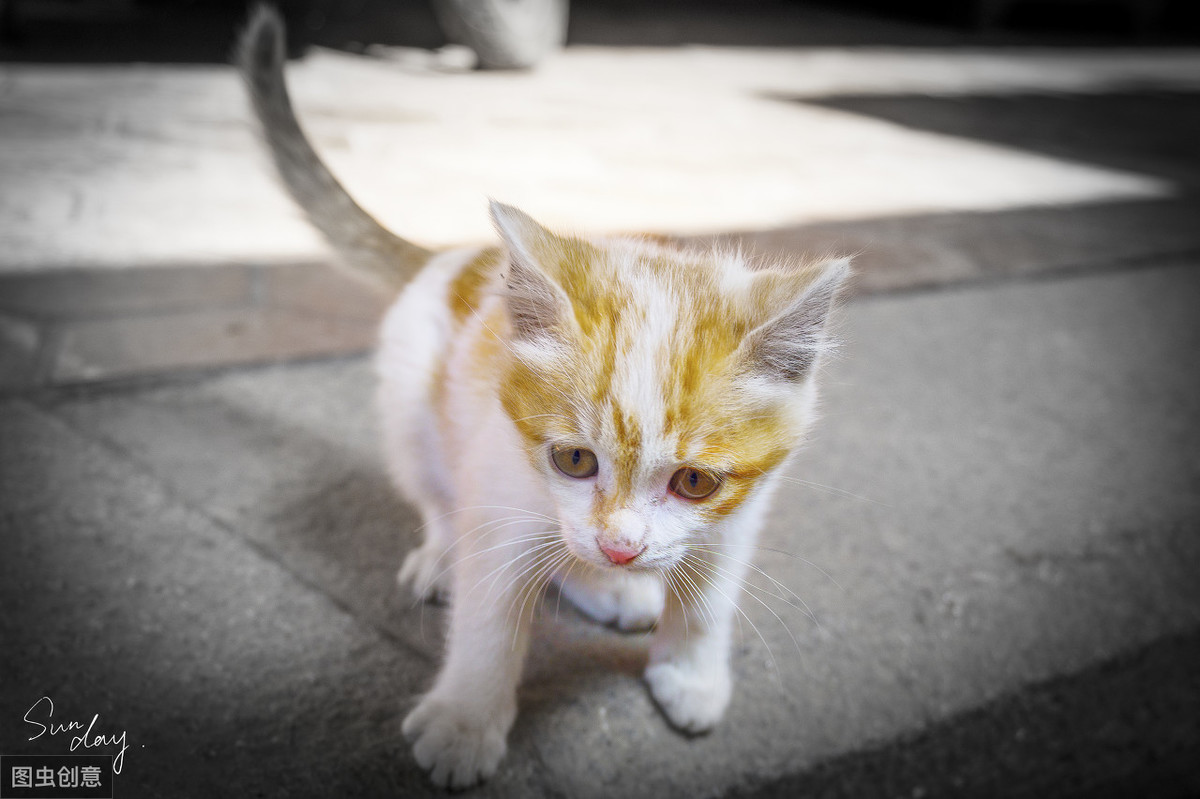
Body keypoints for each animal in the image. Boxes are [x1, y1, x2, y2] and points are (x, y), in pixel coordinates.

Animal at [238, 6, 849, 787]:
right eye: (574, 461)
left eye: (695, 481)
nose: (621, 547)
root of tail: (453, 255)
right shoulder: (500, 486)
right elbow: (489, 618)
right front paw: (466, 719)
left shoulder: (740, 511)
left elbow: (709, 598)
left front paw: (692, 675)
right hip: (411, 403)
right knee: (436, 495)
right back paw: (454, 555)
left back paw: (610, 588)